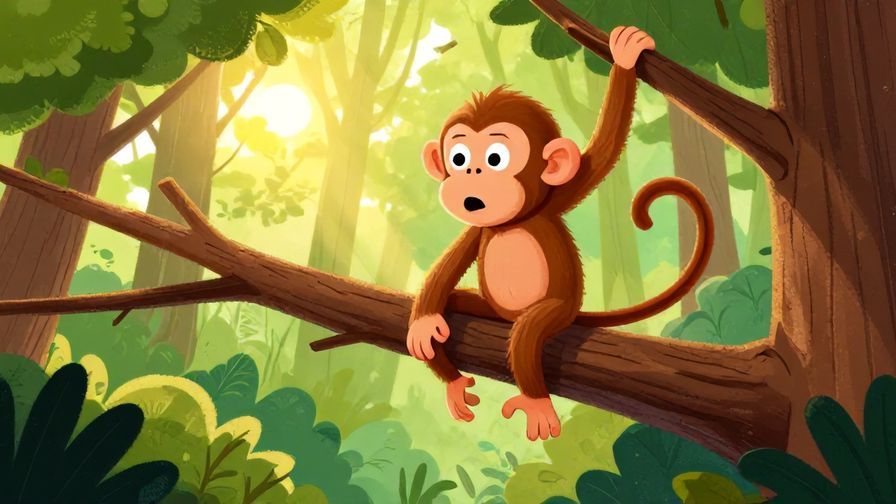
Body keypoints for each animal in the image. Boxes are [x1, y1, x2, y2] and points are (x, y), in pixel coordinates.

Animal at [406, 26, 714, 441]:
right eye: (458, 159)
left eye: (495, 158)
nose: (470, 179)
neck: (511, 220)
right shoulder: (479, 228)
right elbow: (446, 269)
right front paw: (422, 324)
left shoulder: (555, 199)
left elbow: (605, 149)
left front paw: (625, 57)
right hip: (491, 308)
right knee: (452, 304)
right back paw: (453, 381)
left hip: (557, 310)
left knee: (526, 335)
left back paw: (535, 399)